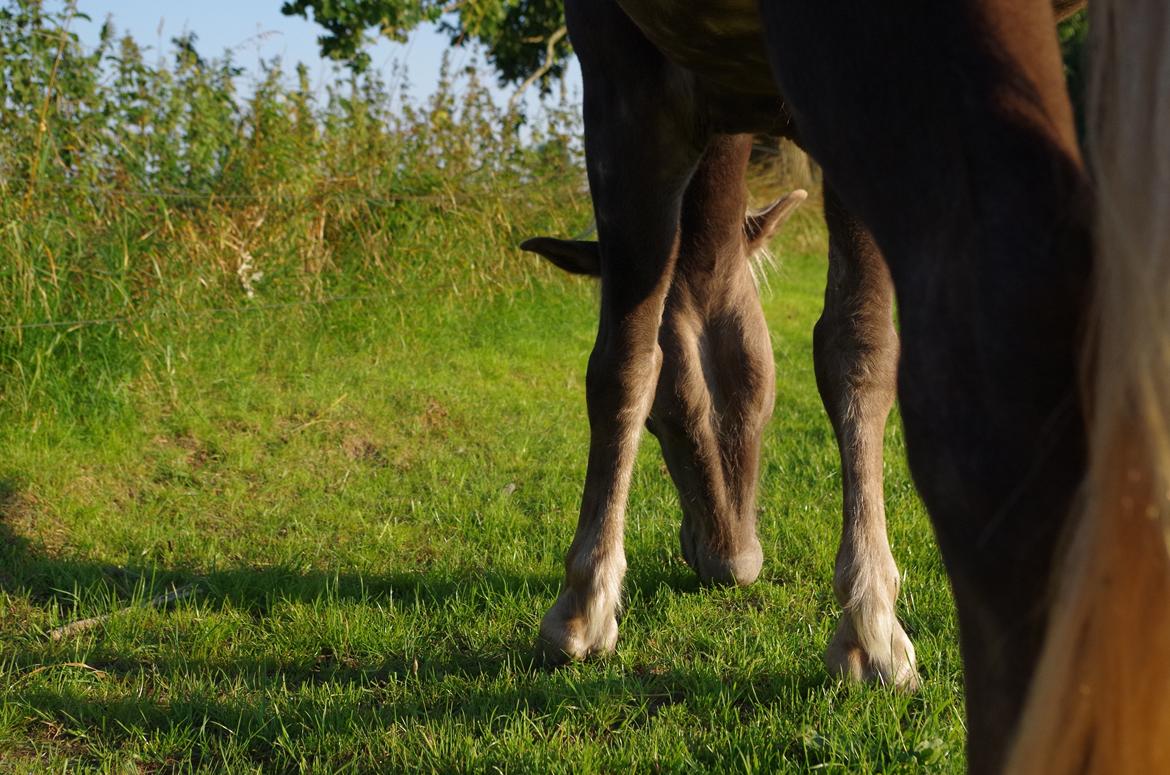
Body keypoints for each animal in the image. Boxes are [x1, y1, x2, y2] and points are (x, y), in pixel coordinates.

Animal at [521, 0, 1170, 772]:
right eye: (760, 398)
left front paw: (581, 608)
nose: (730, 561)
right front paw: (873, 625)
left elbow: (623, 356)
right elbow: (855, 342)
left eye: (663, 420)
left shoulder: (619, 67)